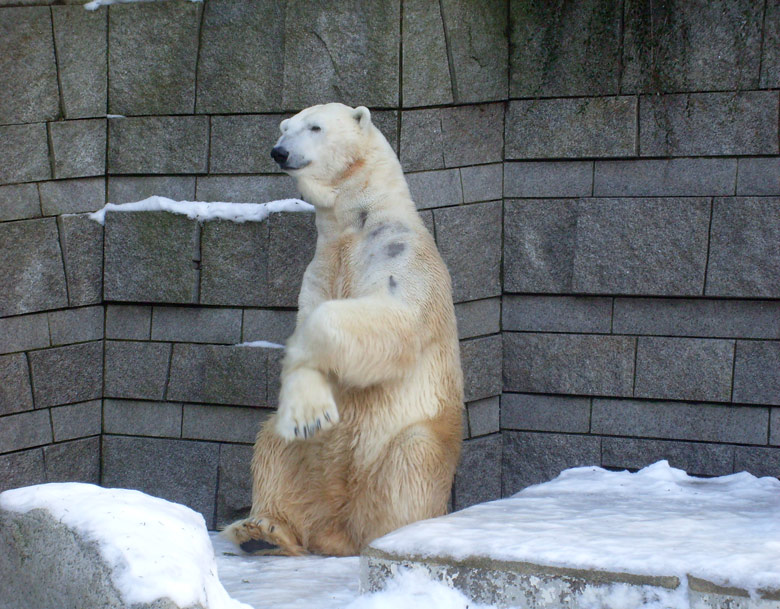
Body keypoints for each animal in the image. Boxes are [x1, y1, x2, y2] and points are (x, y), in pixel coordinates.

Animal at [221, 103, 464, 556]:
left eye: (315, 127)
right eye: (284, 127)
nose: (279, 151)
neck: (354, 223)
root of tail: (338, 527)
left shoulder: (398, 251)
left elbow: (391, 315)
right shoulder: (320, 267)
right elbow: (308, 326)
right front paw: (308, 410)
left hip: (406, 449)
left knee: (409, 464)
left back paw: (387, 535)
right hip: (307, 463)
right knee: (272, 445)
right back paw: (263, 530)